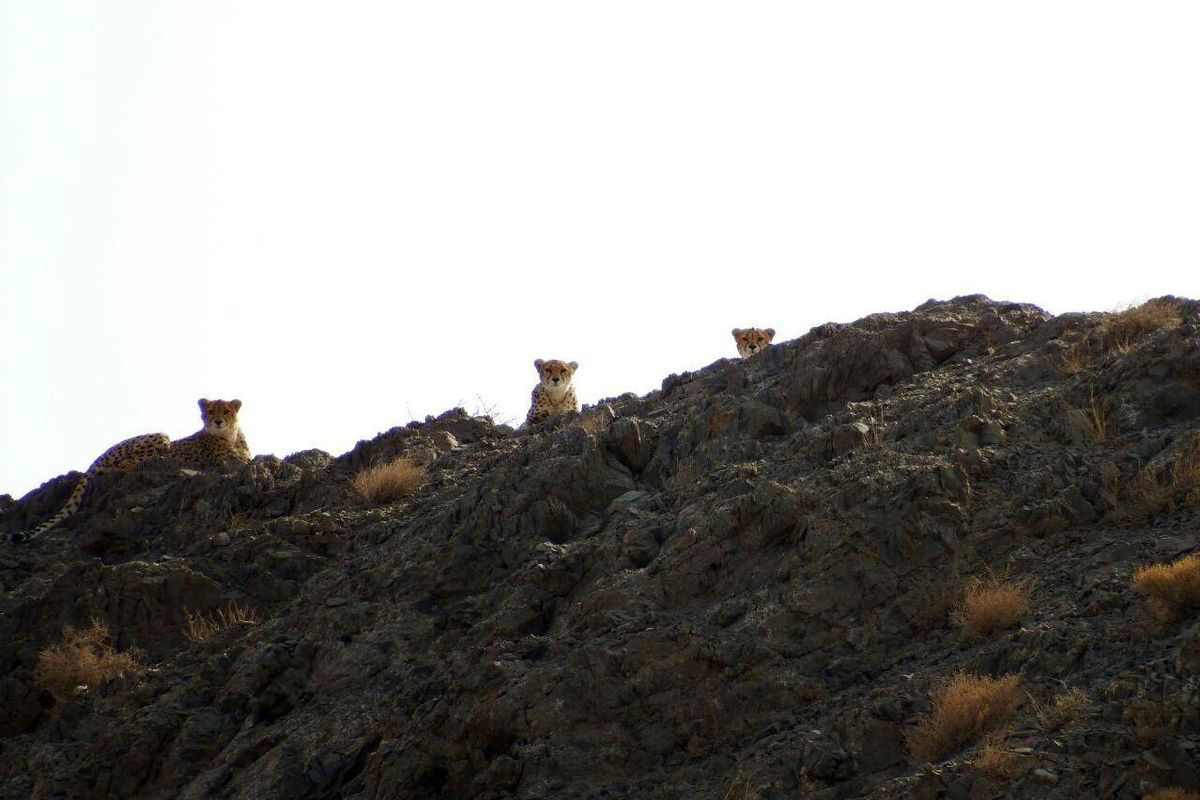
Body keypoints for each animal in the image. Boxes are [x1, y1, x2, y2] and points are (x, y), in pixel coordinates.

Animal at [2, 398, 249, 544]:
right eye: (210, 411)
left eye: (227, 411)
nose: (217, 421)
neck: (230, 435)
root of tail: (94, 461)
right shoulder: (227, 460)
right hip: (160, 437)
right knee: (118, 466)